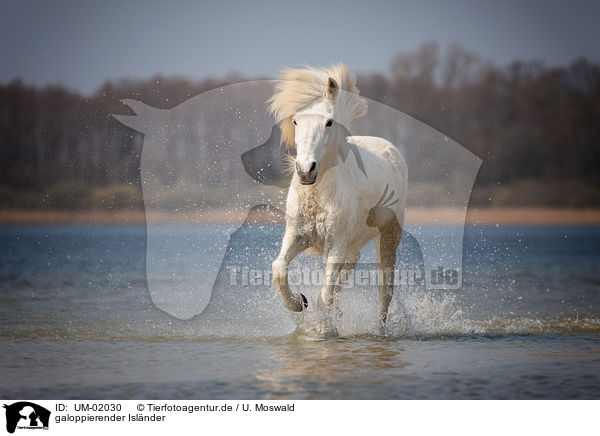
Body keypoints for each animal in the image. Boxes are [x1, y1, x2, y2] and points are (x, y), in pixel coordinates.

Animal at [270, 63, 408, 330]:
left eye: (329, 122)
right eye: (295, 121)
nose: (305, 169)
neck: (318, 194)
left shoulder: (337, 246)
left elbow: (324, 296)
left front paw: (324, 328)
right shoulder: (297, 235)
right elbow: (279, 267)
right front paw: (298, 303)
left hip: (388, 236)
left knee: (384, 289)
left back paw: (380, 330)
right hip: (353, 249)